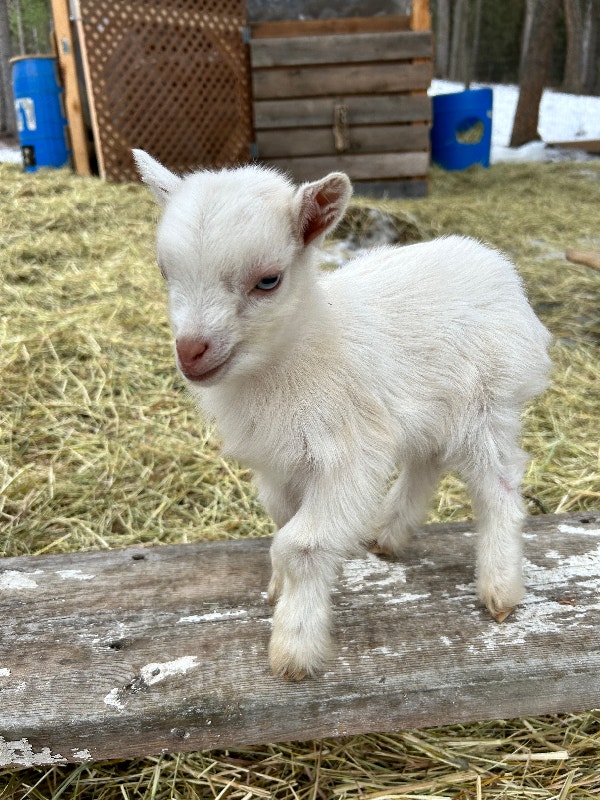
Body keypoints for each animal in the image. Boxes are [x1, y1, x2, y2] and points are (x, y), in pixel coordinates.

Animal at [133, 150, 552, 680]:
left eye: (268, 280)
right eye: (165, 273)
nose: (191, 352)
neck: (298, 352)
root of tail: (494, 262)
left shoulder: (346, 456)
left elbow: (302, 544)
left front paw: (294, 646)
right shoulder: (279, 463)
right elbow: (282, 523)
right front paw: (278, 590)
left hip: (488, 404)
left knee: (499, 485)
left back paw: (500, 586)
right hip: (431, 406)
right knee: (426, 460)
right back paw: (388, 534)